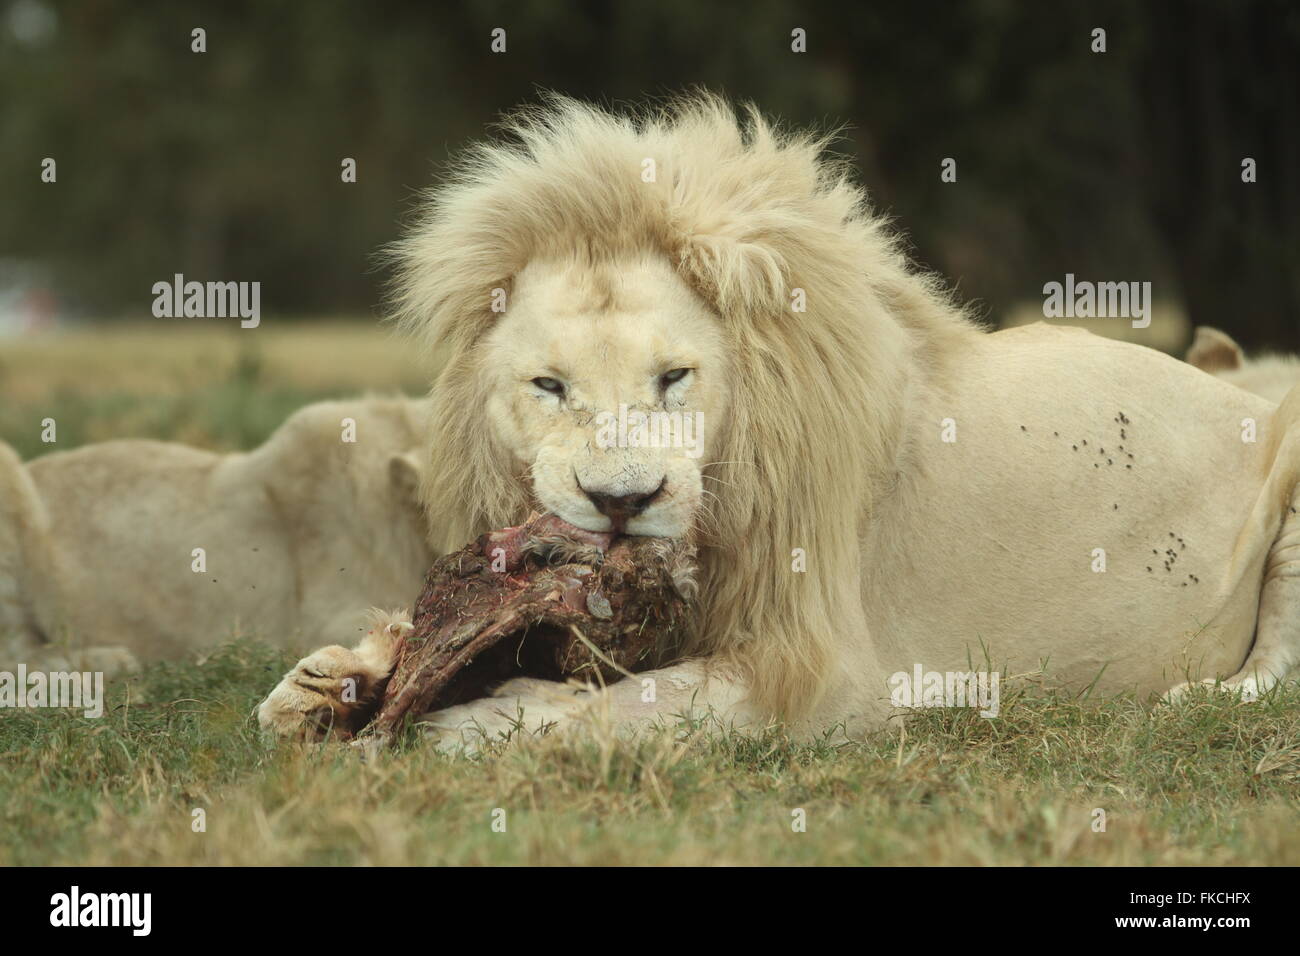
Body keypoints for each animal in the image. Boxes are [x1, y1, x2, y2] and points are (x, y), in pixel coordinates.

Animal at [256, 95, 1300, 749]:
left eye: (675, 377)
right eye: (549, 387)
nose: (623, 503)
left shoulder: (830, 676)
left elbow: (634, 707)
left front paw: (467, 723)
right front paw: (328, 682)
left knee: (1277, 669)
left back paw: (1195, 699)